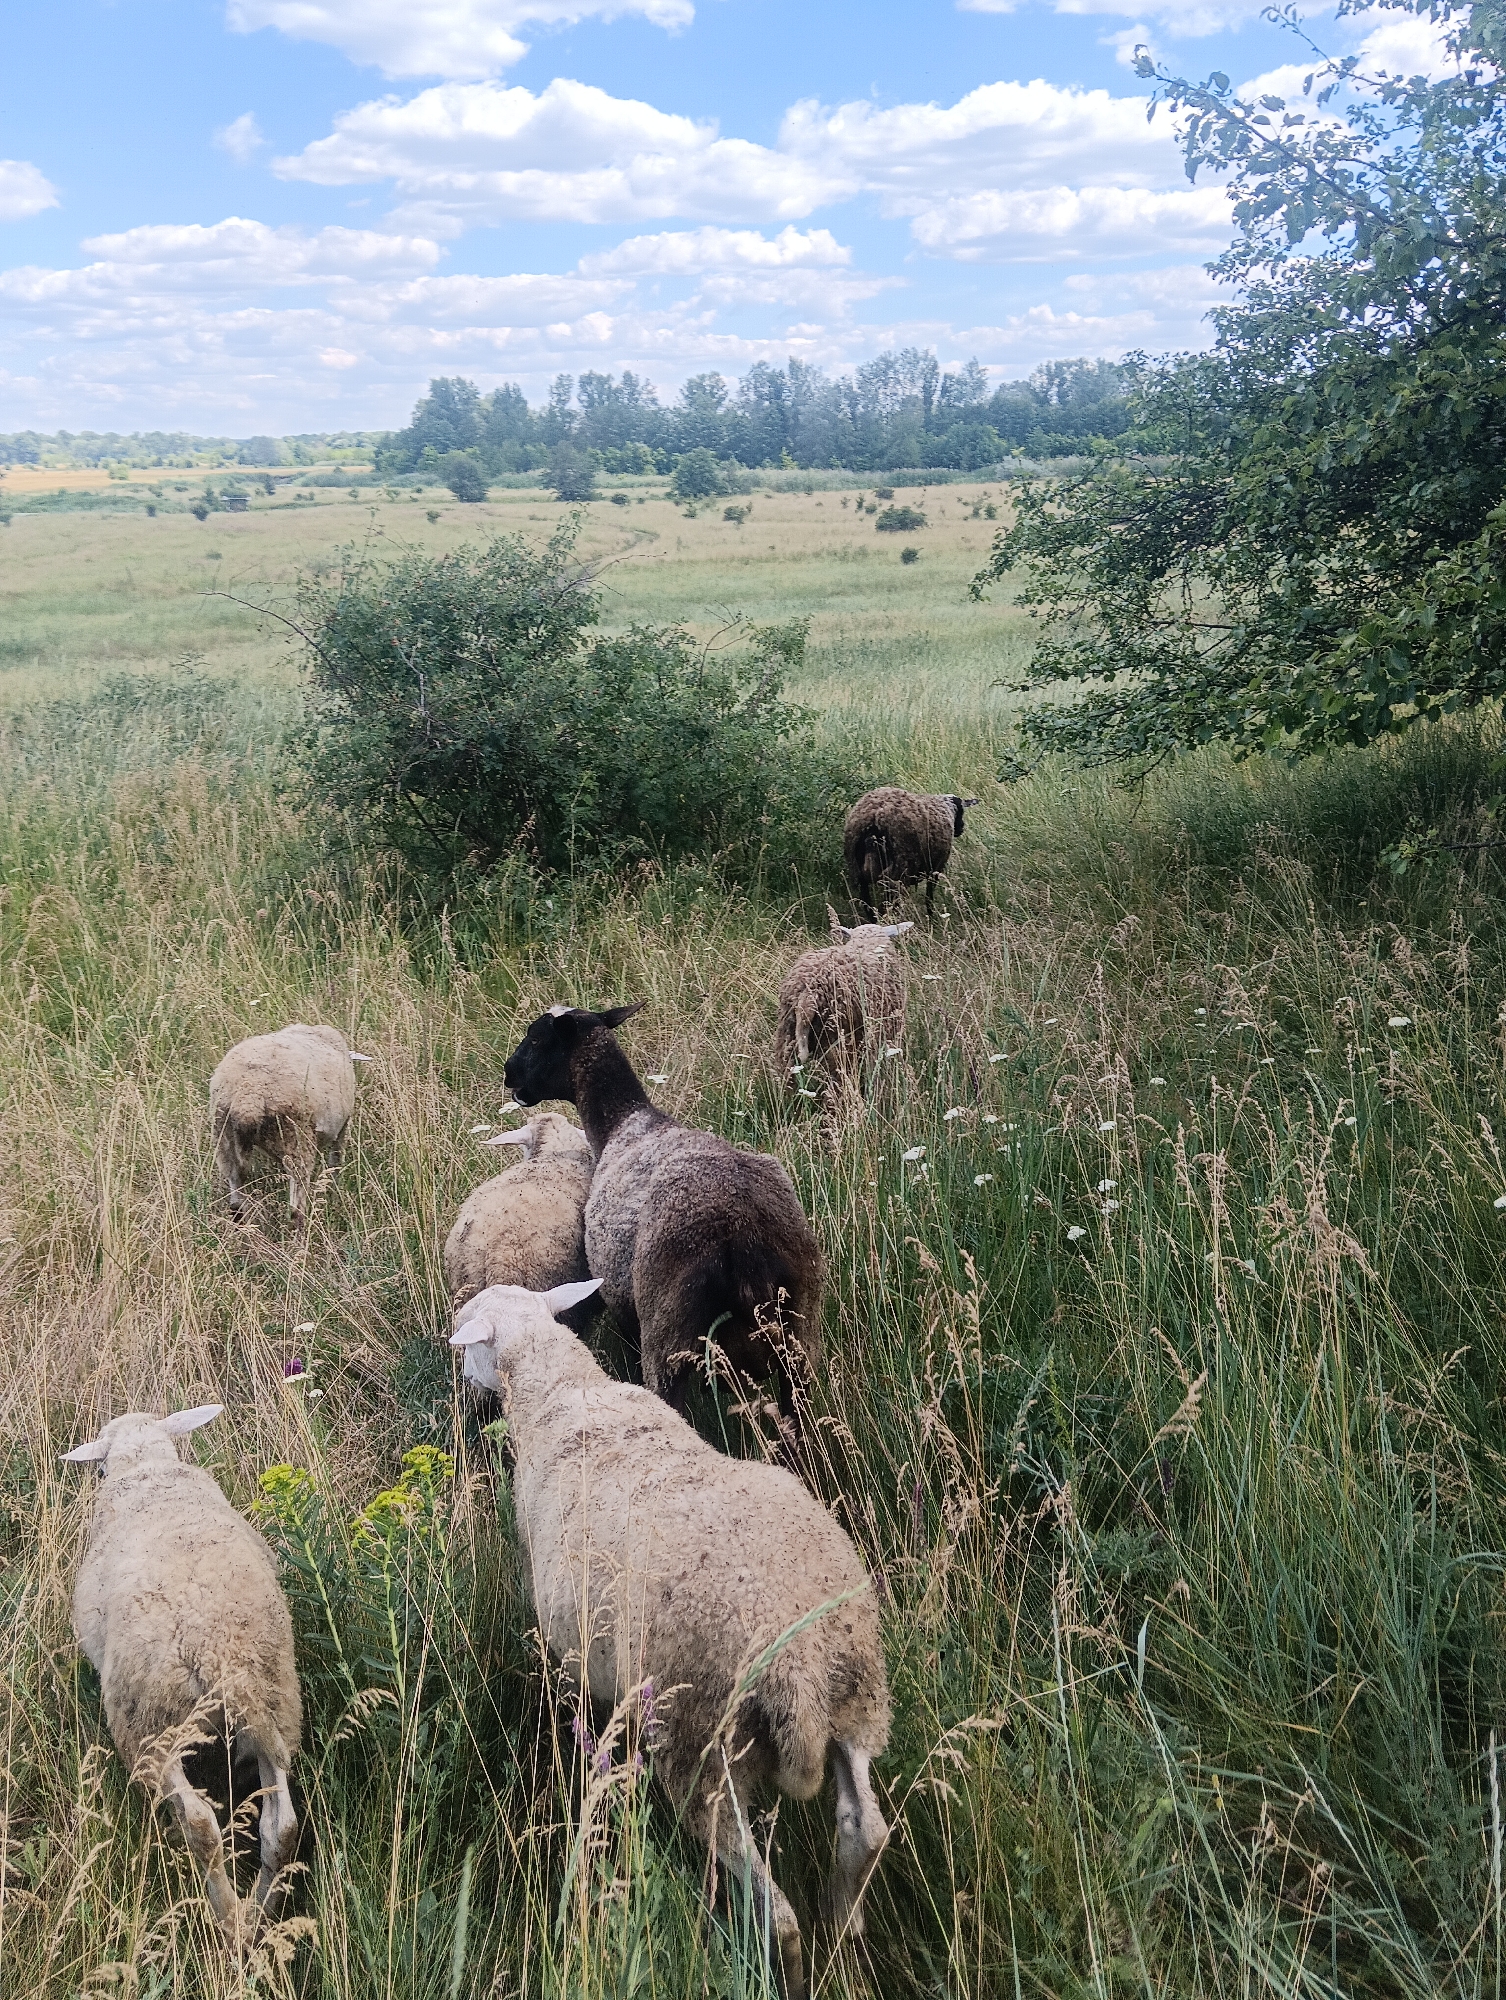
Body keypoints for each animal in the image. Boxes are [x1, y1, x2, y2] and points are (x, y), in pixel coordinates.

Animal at [62, 1406, 301, 1946]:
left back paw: (229, 1920)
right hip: (275, 1708)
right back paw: (260, 1915)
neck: (146, 1467)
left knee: (200, 1824)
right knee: (282, 1829)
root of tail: (218, 1651)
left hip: (149, 1726)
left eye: (99, 1471)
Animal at [210, 1022, 367, 1223]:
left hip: (224, 1137)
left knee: (236, 1202)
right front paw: (334, 1191)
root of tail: (250, 1097)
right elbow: (336, 1161)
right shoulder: (341, 1128)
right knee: (296, 1208)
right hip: (297, 1136)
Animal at [452, 1281, 890, 1999]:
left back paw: (788, 1961)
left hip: (698, 1743)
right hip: (857, 1694)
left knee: (773, 1907)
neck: (564, 1393)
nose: (462, 1381)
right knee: (865, 1831)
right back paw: (844, 1932)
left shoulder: (573, 1653)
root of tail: (796, 1668)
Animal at [502, 1003, 823, 1421]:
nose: (508, 1072)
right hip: (800, 1334)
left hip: (666, 1333)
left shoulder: (623, 1306)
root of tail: (742, 1233)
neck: (623, 1122)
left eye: (538, 1039)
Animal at [842, 786, 979, 919]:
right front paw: (932, 918)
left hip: (858, 867)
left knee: (866, 898)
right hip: (901, 868)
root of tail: (874, 816)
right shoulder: (935, 869)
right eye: (961, 811)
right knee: (889, 899)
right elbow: (929, 897)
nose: (961, 828)